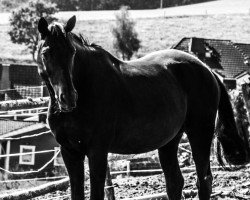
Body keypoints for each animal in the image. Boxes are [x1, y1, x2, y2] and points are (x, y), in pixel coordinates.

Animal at [37, 15, 250, 200]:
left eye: (72, 52)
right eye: (46, 53)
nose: (68, 98)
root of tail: (208, 70)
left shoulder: (97, 151)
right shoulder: (70, 152)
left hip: (200, 133)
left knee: (203, 181)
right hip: (169, 141)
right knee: (175, 183)